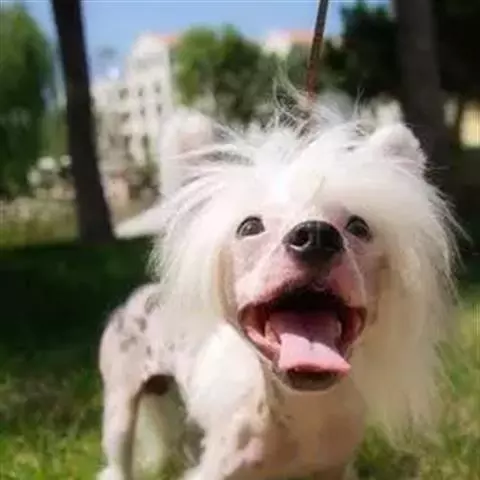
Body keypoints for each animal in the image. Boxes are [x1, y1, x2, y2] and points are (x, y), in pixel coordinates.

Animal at [98, 100, 458, 480]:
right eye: (249, 226)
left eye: (359, 226)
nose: (315, 235)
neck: (302, 411)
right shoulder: (215, 471)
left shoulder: (333, 469)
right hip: (119, 408)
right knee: (117, 461)